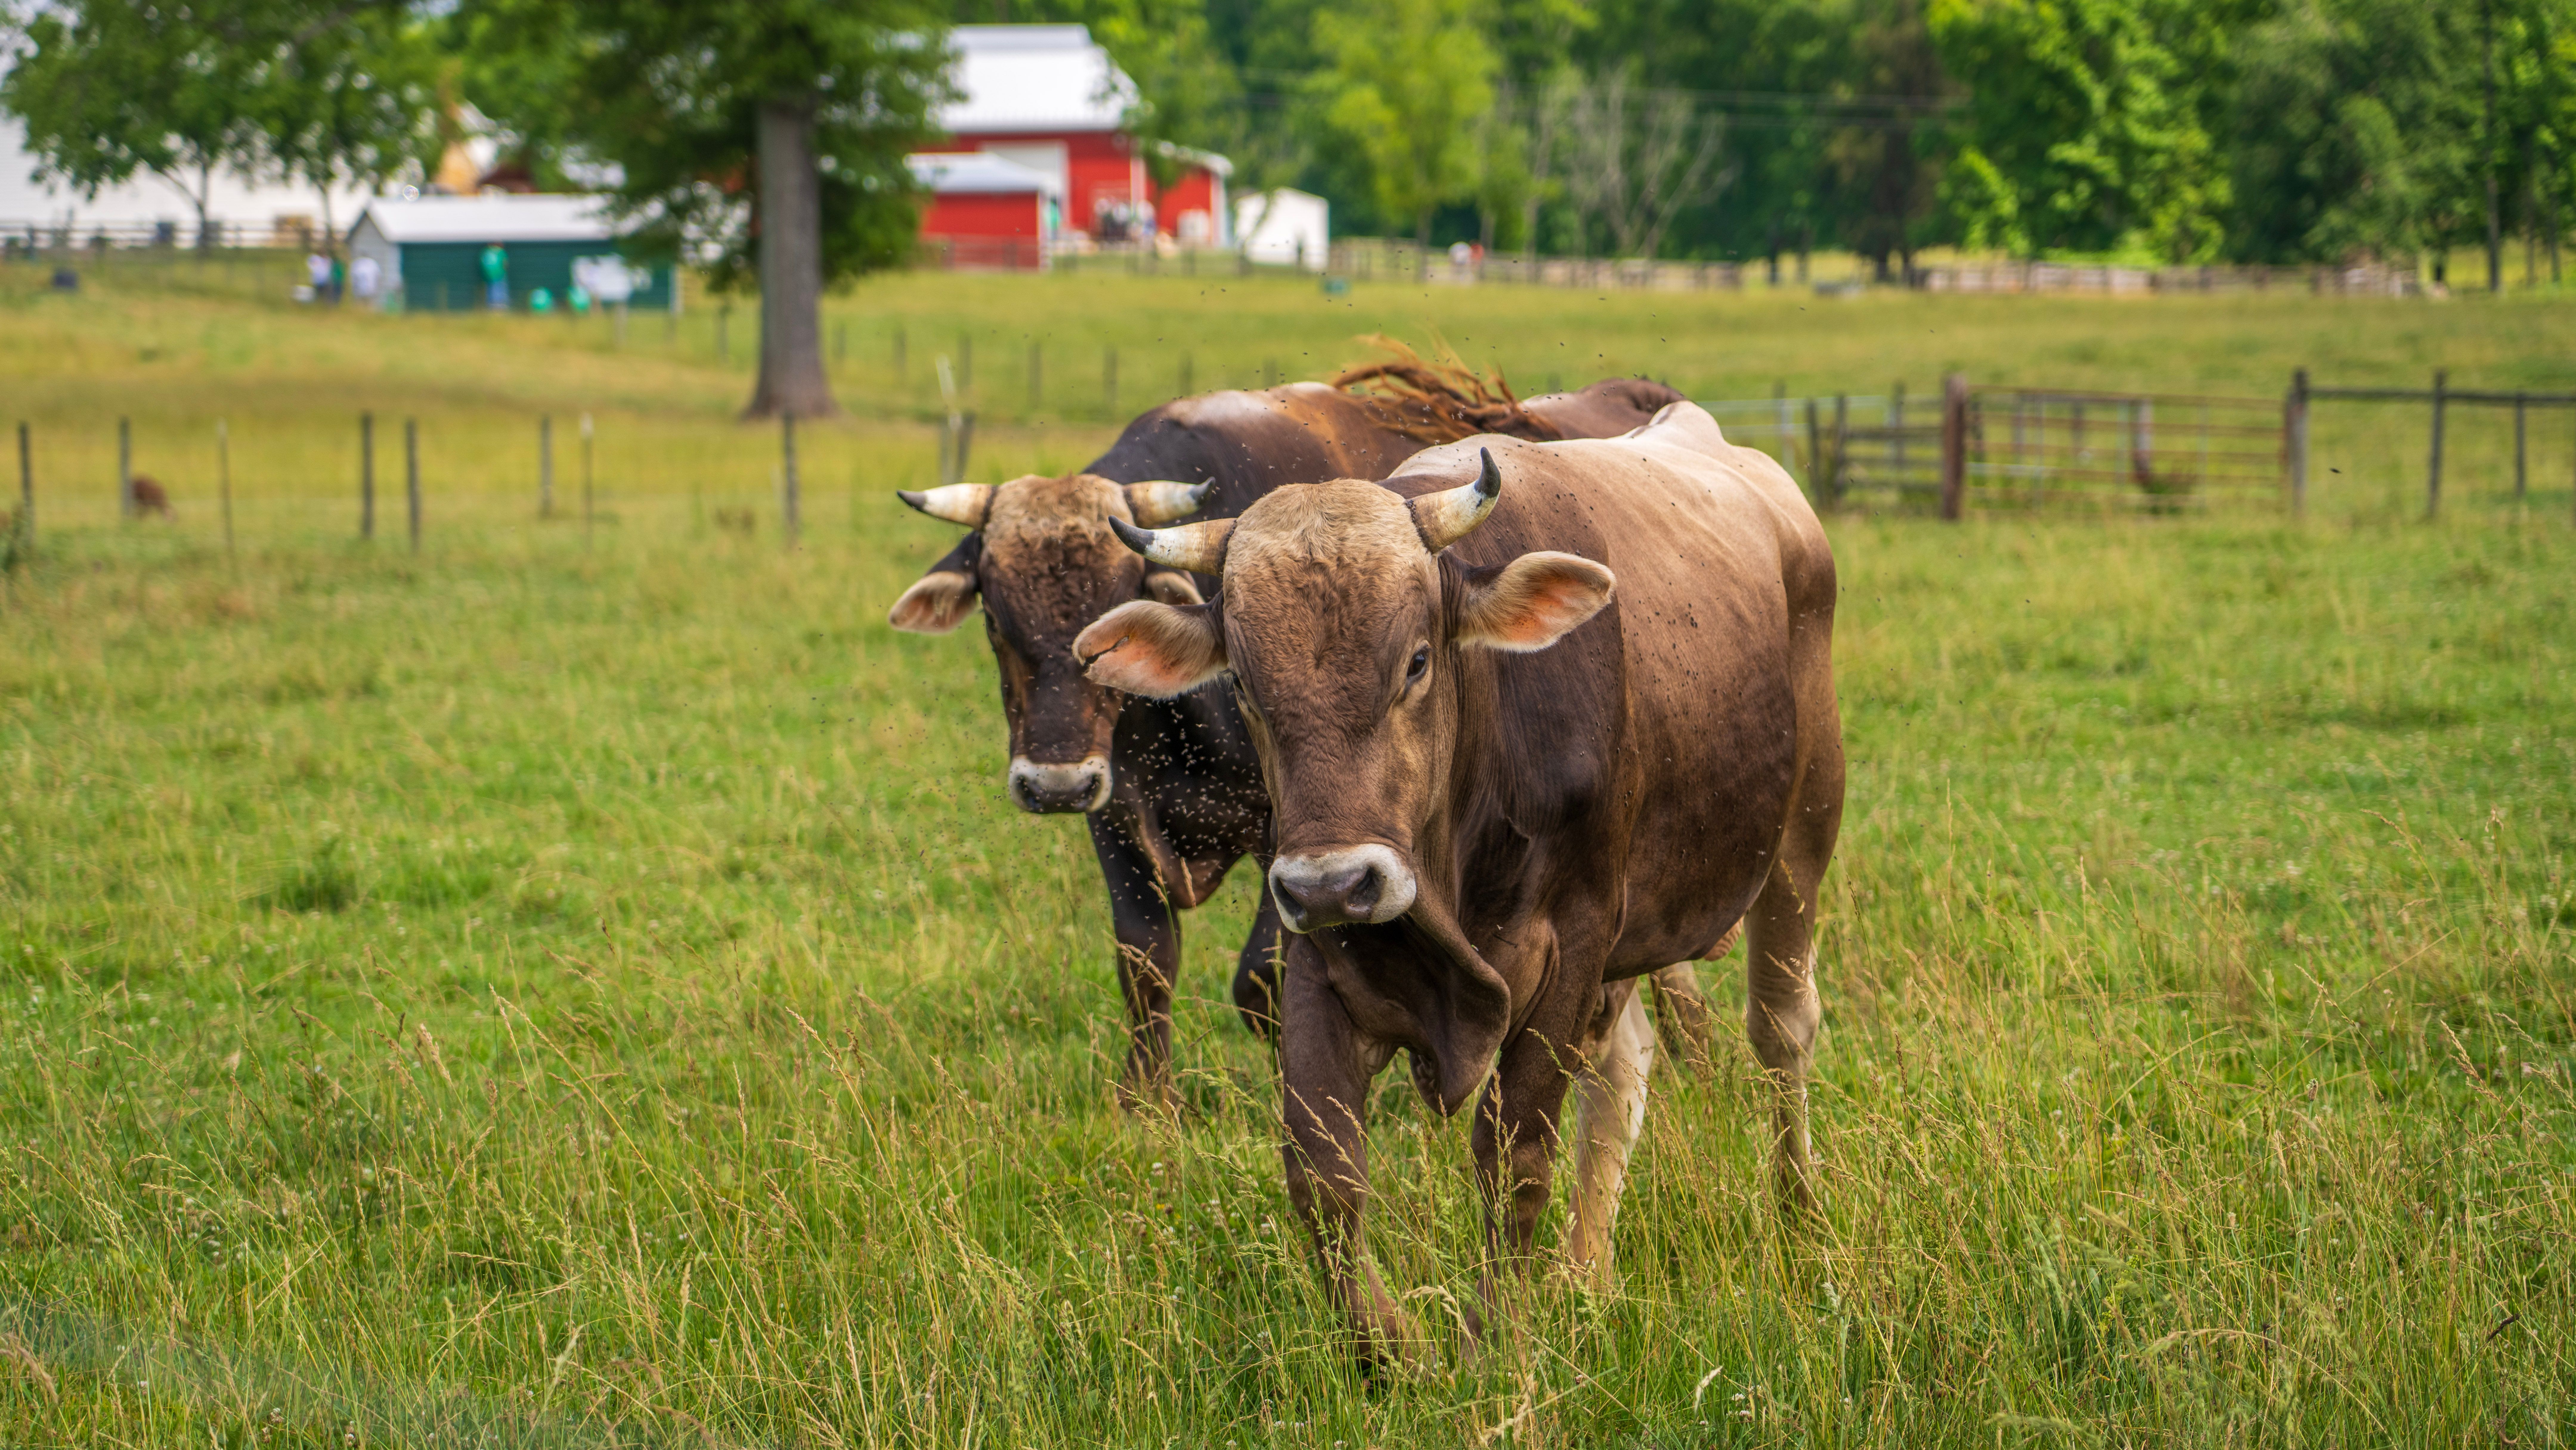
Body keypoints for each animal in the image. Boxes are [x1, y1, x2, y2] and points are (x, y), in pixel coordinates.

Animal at [886, 367, 1699, 1112]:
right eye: (996, 619)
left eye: (1117, 603)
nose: (1053, 785)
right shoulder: (1115, 816)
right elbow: (1144, 961)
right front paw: (1147, 1102)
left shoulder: (1293, 834)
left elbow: (1260, 979)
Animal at [1074, 402, 1842, 1361]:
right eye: (1245, 684)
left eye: (1414, 662)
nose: (1334, 884)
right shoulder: (1321, 961)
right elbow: (1323, 1173)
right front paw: (1390, 1349)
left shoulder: (1571, 944)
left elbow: (1514, 1156)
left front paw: (1492, 1341)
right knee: (1622, 1072)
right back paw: (1584, 1274)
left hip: (1802, 834)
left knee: (1781, 1032)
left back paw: (1799, 1215)